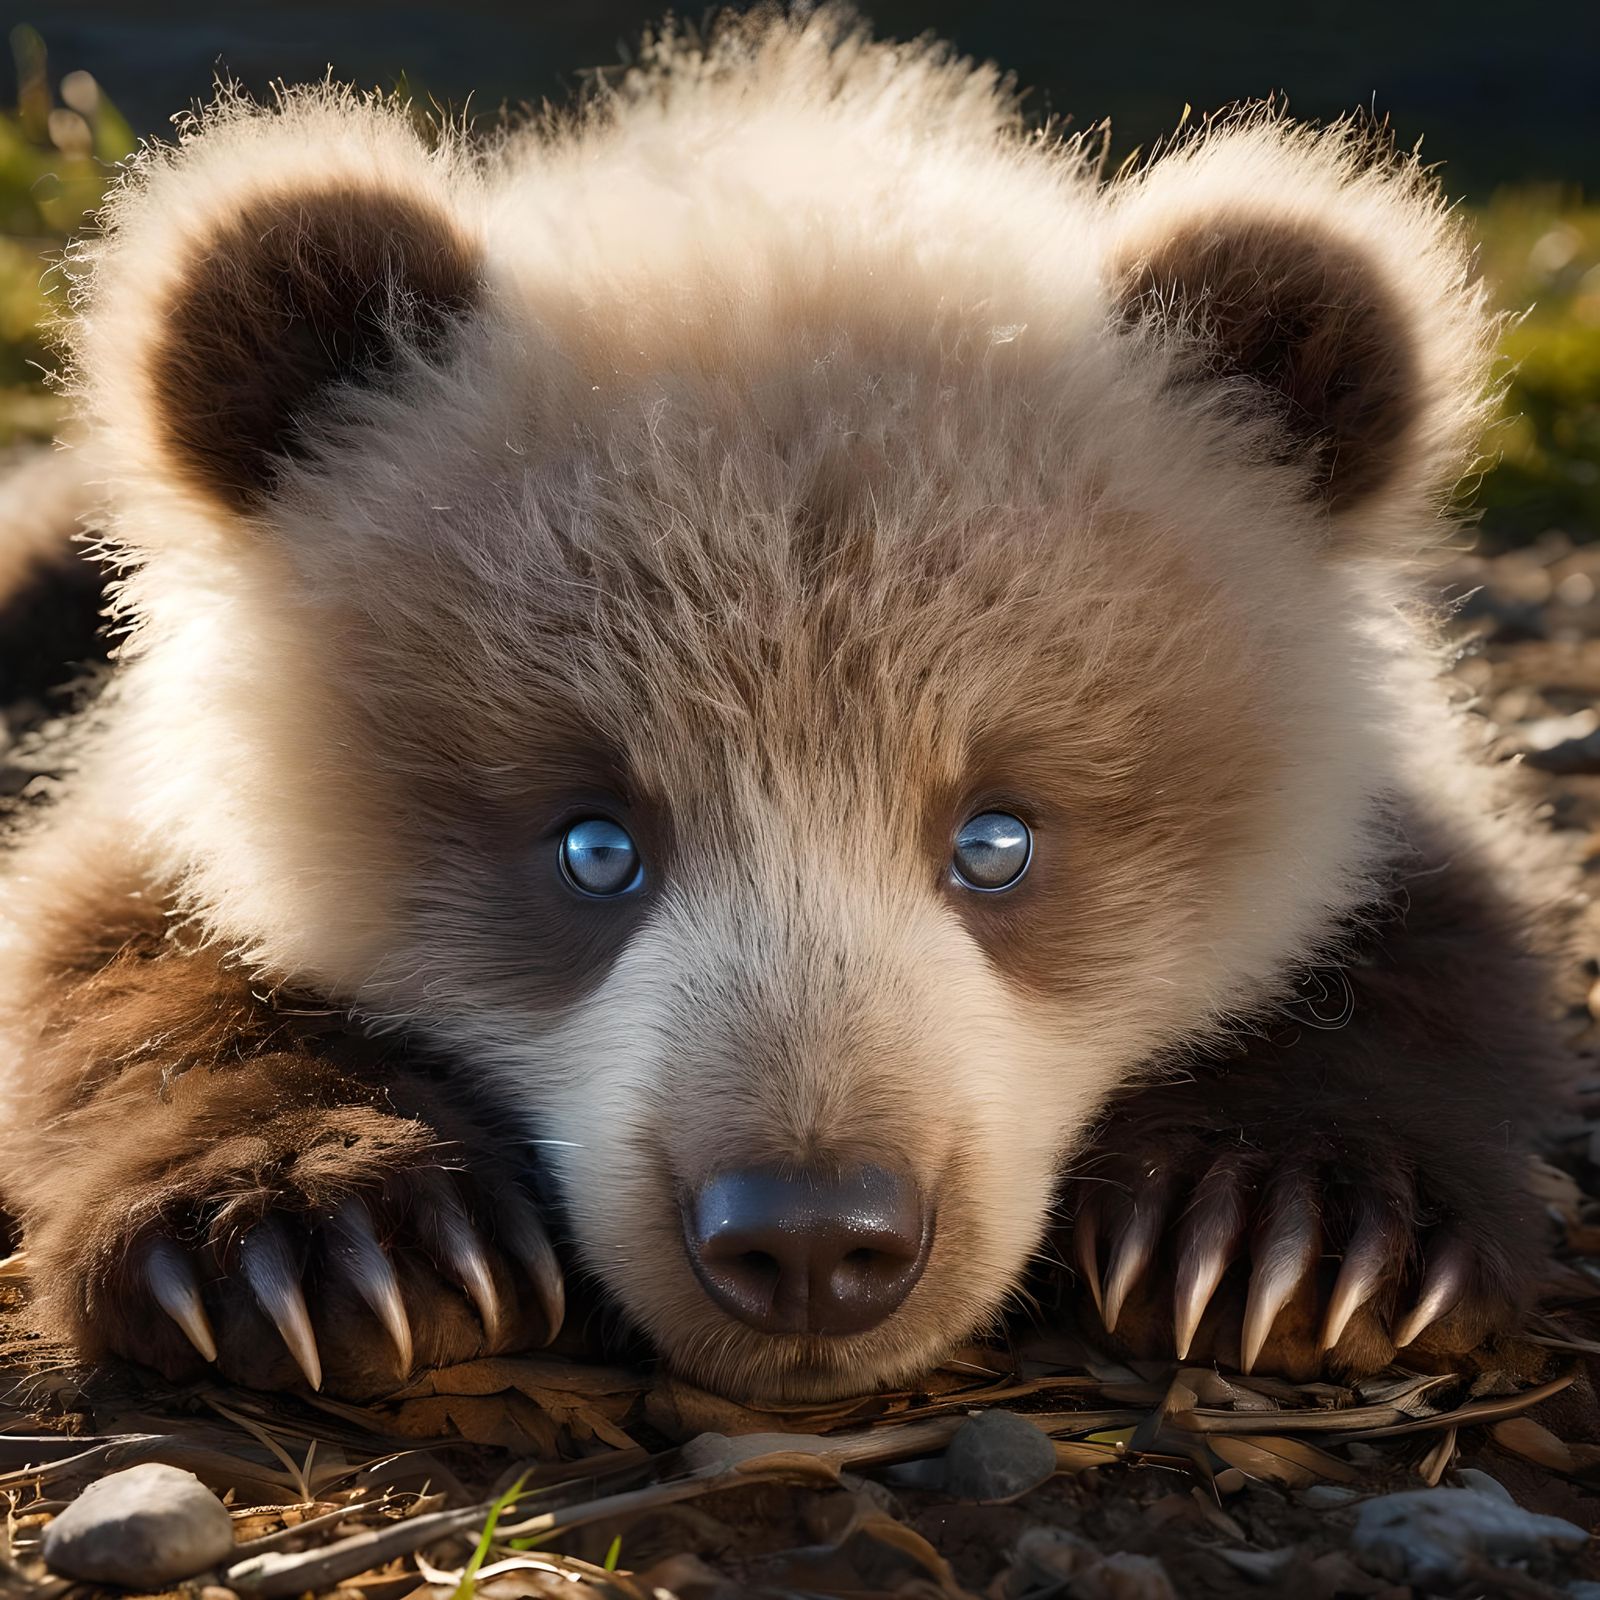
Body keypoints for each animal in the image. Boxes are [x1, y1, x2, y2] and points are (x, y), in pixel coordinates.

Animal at [0, 7, 1574, 1402]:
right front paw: (313, 1221)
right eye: (595, 845)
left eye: (997, 841)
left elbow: (1426, 947)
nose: (812, 1238)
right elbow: (109, 947)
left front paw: (1295, 1224)